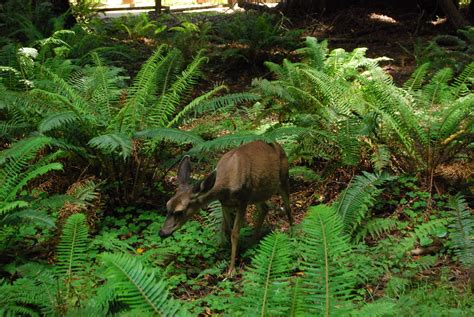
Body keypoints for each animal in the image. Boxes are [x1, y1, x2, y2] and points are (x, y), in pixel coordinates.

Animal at [159, 139, 292, 272]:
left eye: (179, 212)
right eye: (167, 205)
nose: (162, 233)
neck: (227, 182)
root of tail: (277, 144)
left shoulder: (243, 200)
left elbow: (235, 233)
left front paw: (231, 270)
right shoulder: (224, 202)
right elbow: (227, 229)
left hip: (283, 178)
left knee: (288, 208)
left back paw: (293, 233)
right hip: (257, 194)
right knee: (265, 208)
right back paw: (252, 242)